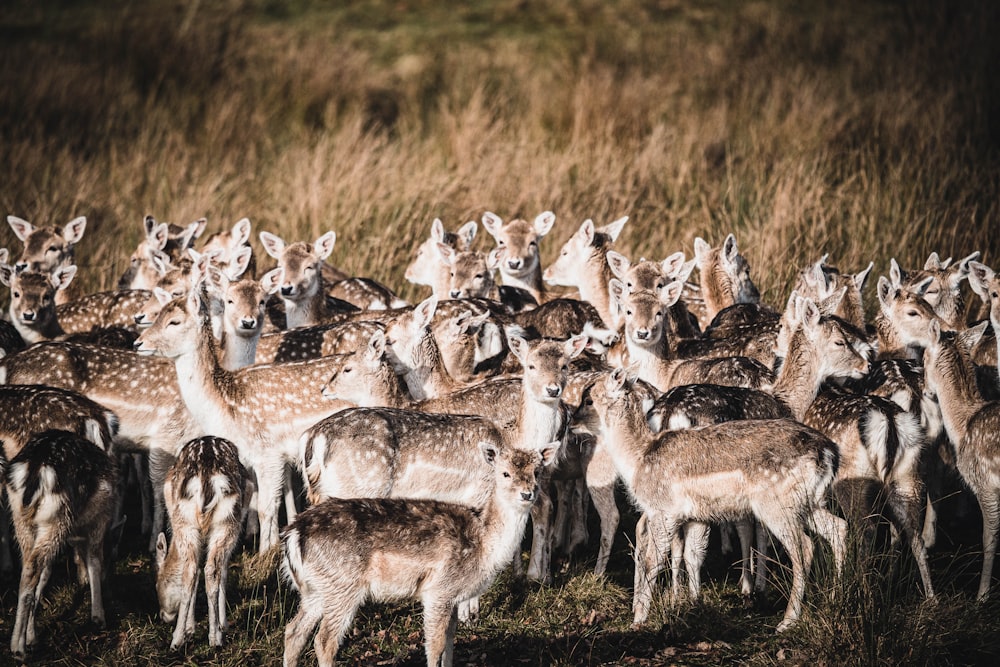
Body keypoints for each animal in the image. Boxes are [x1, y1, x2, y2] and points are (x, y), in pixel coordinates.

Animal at [2, 430, 117, 660]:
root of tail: (36, 468)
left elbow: (46, 574)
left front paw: (32, 636)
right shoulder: (100, 521)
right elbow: (94, 560)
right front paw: (98, 617)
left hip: (22, 519)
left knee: (30, 566)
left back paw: (23, 641)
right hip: (57, 517)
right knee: (33, 566)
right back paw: (18, 649)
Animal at [155, 436, 254, 648]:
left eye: (157, 584)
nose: (163, 616)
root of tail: (207, 480)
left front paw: (195, 628)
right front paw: (217, 626)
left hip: (188, 522)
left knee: (194, 570)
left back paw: (178, 640)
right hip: (225, 523)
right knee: (209, 569)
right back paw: (213, 639)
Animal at [576, 368, 848, 636]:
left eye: (588, 399)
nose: (573, 423)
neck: (638, 459)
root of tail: (830, 454)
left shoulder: (664, 510)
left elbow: (653, 560)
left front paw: (639, 619)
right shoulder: (693, 515)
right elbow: (689, 553)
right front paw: (690, 605)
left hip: (777, 504)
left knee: (804, 547)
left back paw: (787, 620)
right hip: (809, 502)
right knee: (838, 528)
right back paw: (836, 597)